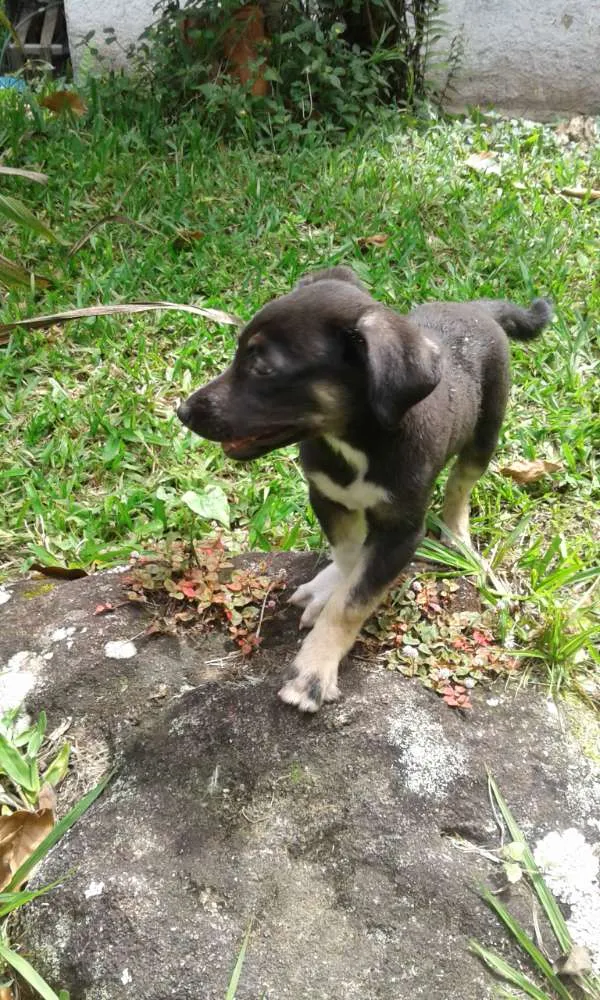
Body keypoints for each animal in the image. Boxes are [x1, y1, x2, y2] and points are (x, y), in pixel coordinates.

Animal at [176, 268, 552, 712]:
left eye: (263, 369)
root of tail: (476, 308)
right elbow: (348, 557)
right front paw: (328, 589)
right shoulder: (325, 496)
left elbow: (352, 601)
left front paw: (312, 672)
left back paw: (457, 536)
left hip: (486, 429)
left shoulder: (401, 533)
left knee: (461, 484)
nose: (183, 412)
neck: (354, 441)